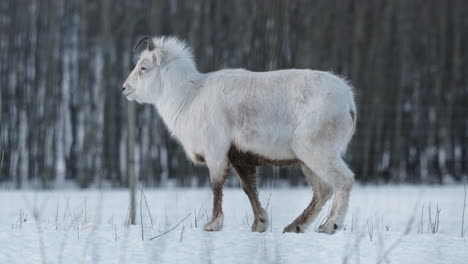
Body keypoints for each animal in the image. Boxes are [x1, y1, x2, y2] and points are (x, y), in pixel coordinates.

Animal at [122, 35, 356, 233]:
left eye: (143, 67)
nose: (125, 89)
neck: (189, 98)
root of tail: (349, 103)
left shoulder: (216, 154)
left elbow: (217, 186)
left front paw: (212, 225)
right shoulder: (240, 158)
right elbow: (249, 189)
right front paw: (259, 224)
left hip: (316, 152)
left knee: (343, 181)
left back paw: (329, 226)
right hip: (307, 161)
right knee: (323, 190)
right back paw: (295, 227)